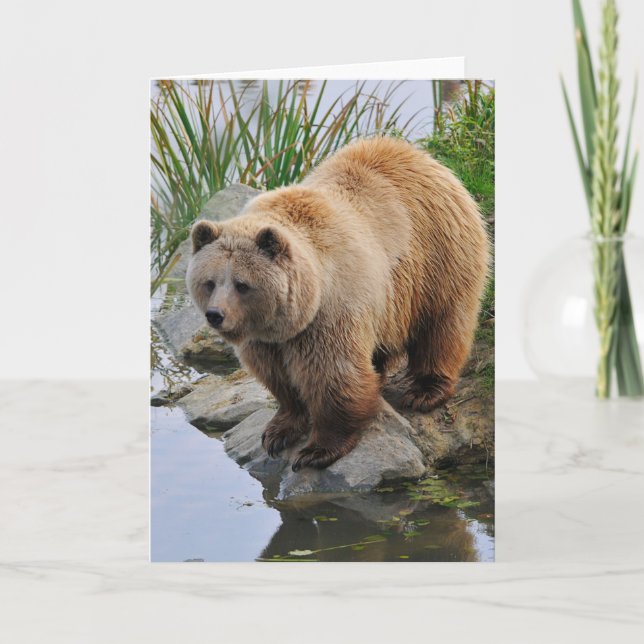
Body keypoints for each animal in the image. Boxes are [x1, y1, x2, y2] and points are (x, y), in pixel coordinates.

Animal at [186, 137, 489, 471]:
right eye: (210, 282)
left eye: (242, 284)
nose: (216, 315)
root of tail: (418, 154)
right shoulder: (266, 338)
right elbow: (278, 377)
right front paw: (278, 431)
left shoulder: (329, 311)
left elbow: (333, 376)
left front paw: (317, 450)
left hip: (436, 255)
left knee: (442, 324)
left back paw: (425, 391)